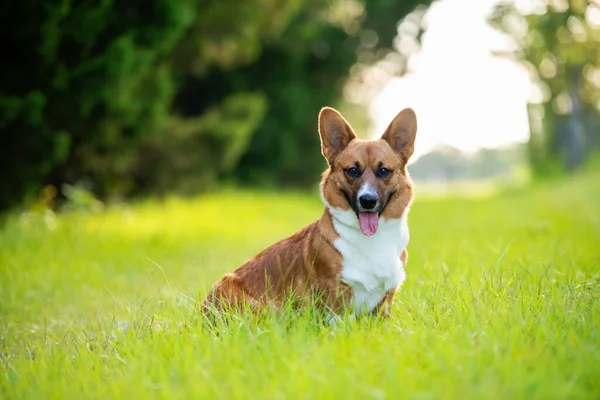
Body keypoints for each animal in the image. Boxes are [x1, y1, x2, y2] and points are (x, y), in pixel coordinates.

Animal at [203, 106, 418, 322]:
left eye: (384, 171)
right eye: (352, 170)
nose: (367, 201)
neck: (374, 239)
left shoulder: (384, 304)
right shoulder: (336, 302)